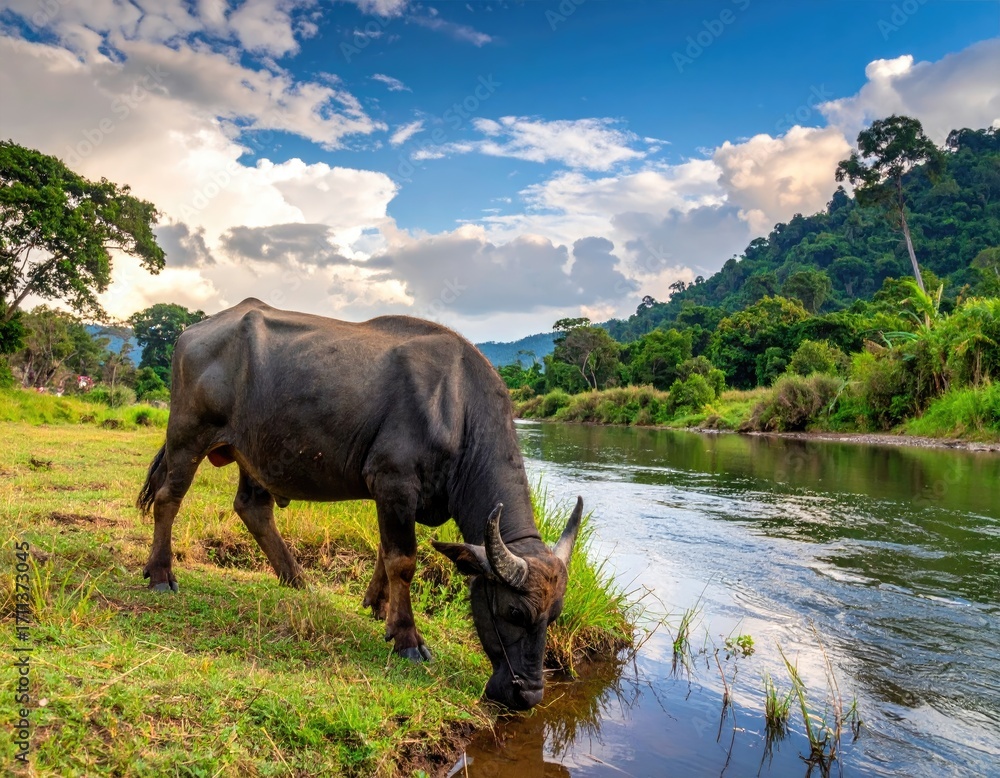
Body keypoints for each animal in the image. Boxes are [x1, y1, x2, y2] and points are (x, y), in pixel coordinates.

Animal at [138, 298, 583, 709]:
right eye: (514, 612)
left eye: (554, 616)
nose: (528, 694)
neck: (458, 408)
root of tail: (194, 330)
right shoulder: (394, 483)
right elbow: (403, 560)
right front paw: (407, 637)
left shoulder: (398, 499)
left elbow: (386, 553)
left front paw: (378, 605)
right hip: (187, 437)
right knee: (168, 499)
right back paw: (160, 573)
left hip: (254, 454)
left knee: (252, 508)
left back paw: (297, 580)